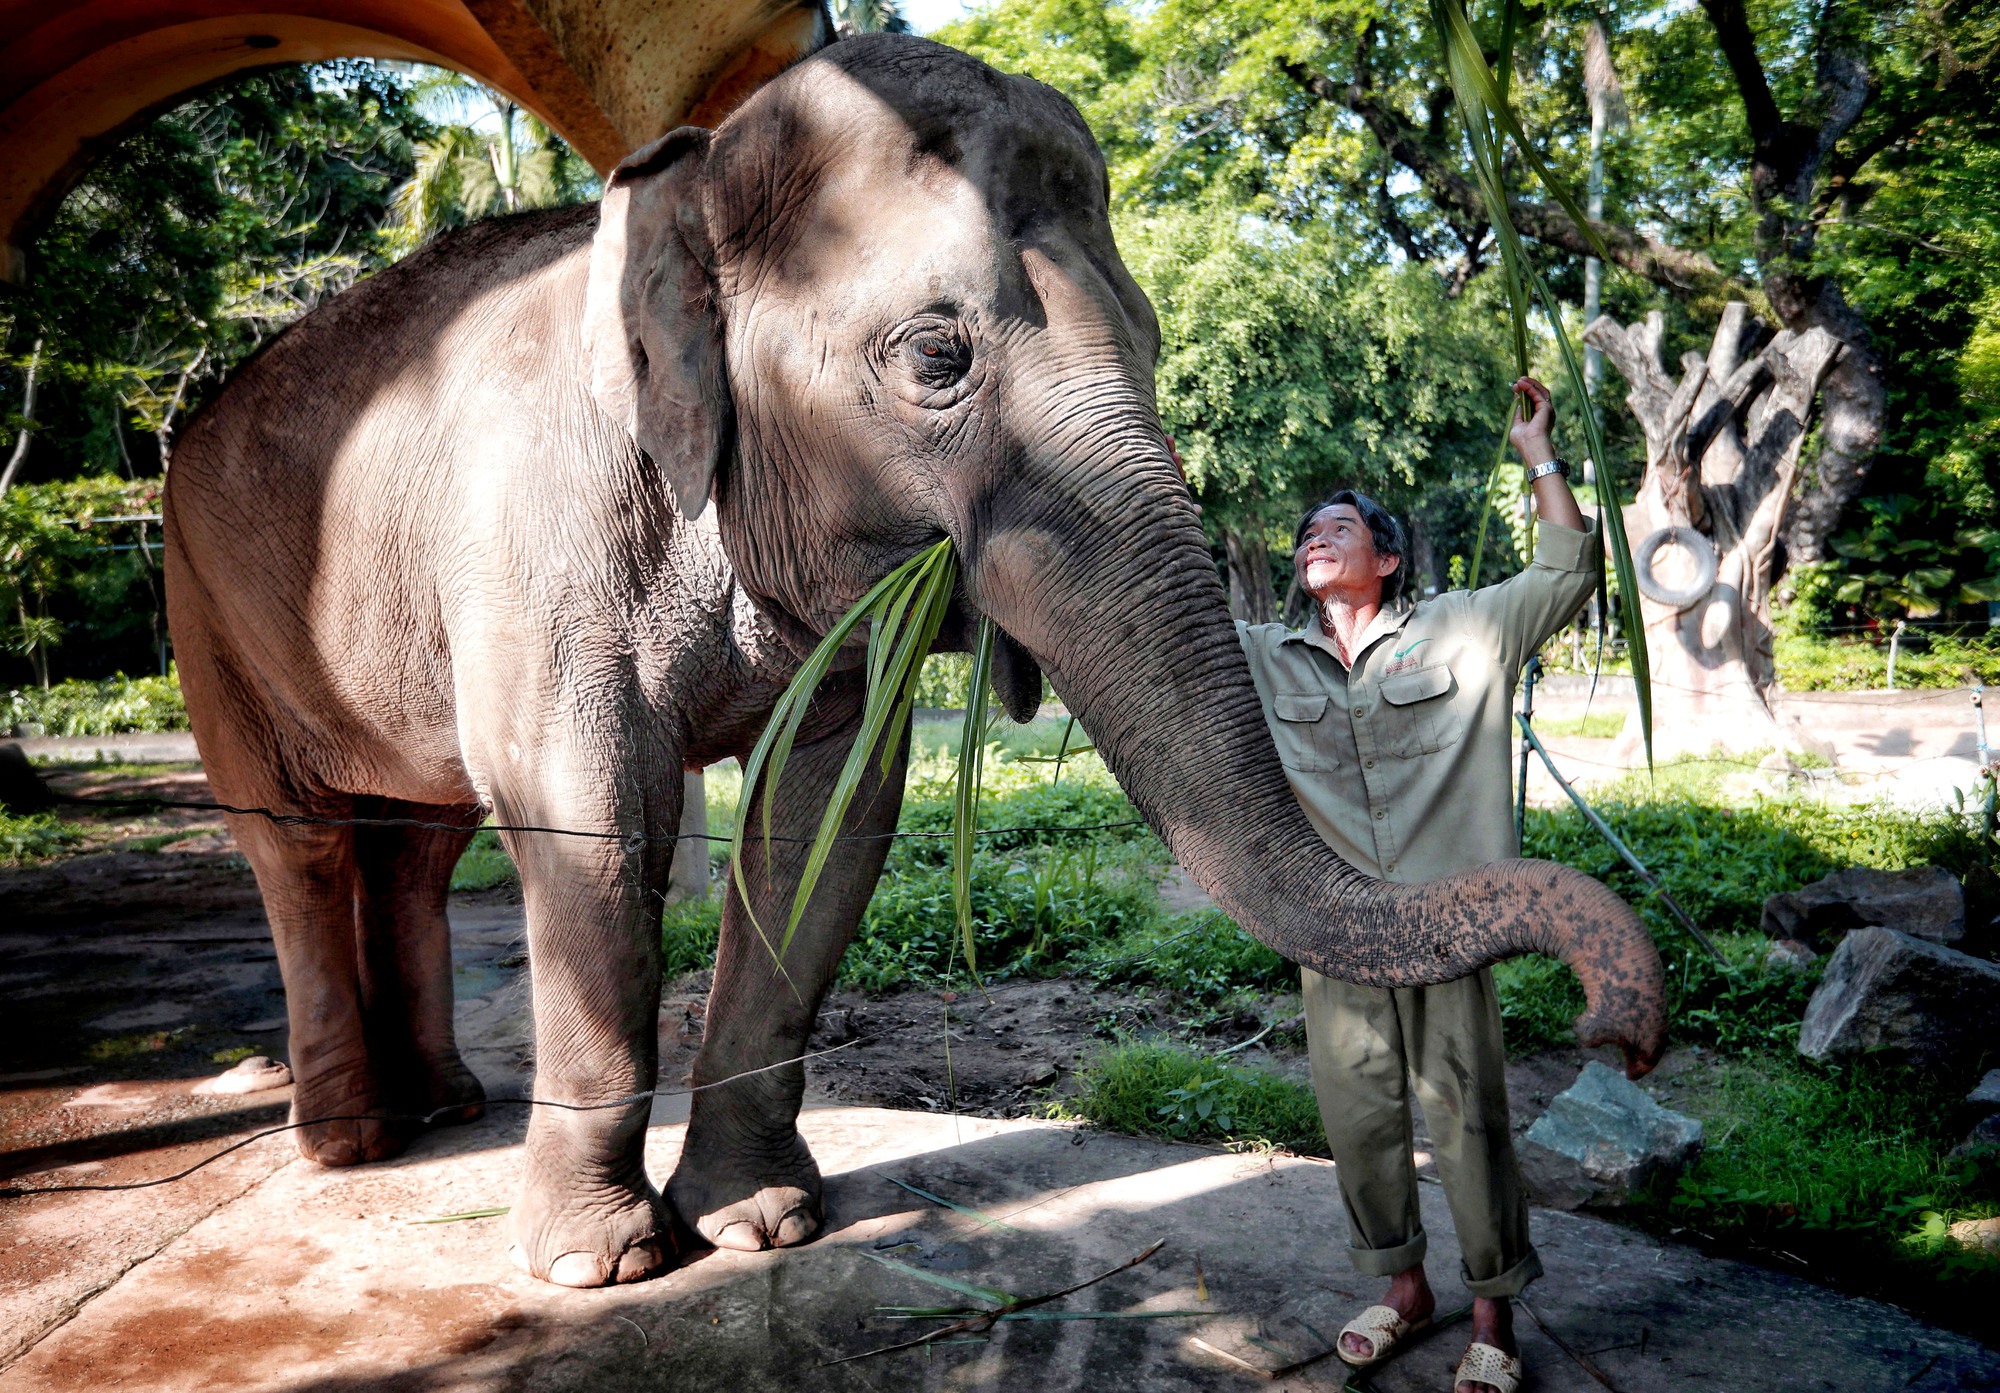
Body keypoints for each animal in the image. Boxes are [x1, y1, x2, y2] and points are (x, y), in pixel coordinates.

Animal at [164, 32, 1664, 1288]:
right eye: (938, 354)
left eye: (1155, 342)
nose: (1619, 1026)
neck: (692, 174)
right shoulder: (538, 540)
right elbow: (589, 822)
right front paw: (601, 1266)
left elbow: (822, 823)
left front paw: (764, 1224)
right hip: (199, 602)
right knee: (298, 841)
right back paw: (352, 1141)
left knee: (415, 840)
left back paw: (445, 1105)